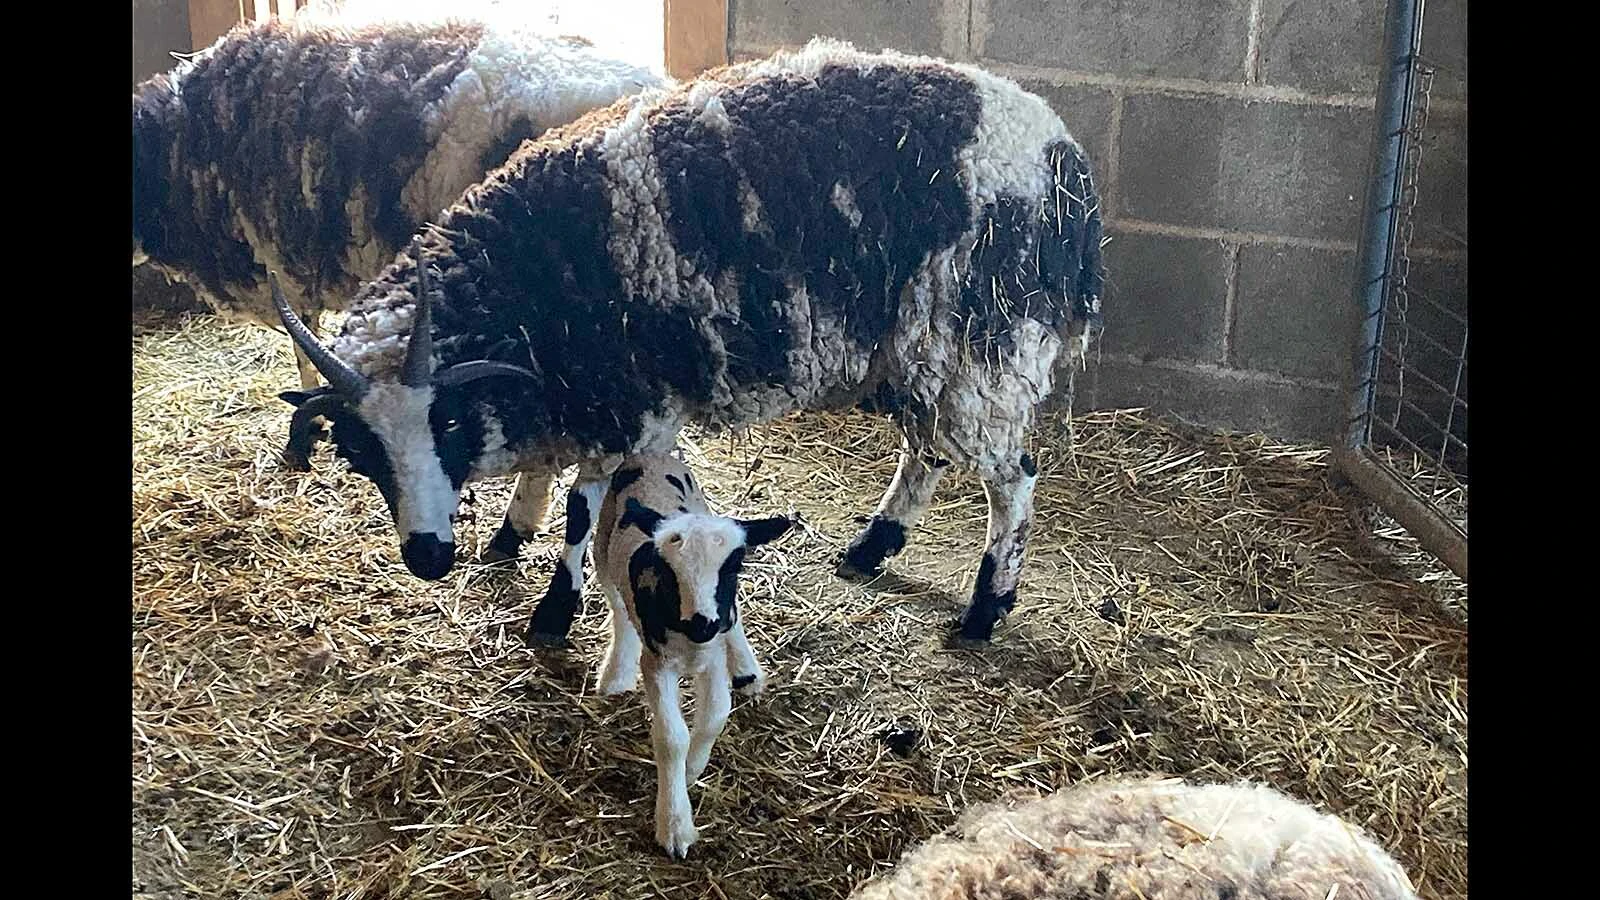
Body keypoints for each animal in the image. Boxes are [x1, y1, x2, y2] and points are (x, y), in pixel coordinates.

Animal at [267, 36, 1106, 648]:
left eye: (445, 424)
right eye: (359, 453)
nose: (427, 558)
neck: (531, 273)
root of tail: (1066, 158)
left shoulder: (629, 407)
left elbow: (583, 513)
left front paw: (553, 610)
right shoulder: (578, 390)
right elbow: (546, 471)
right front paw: (510, 532)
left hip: (987, 344)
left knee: (1013, 480)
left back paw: (986, 608)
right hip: (923, 349)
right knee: (926, 450)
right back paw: (872, 548)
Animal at [588, 452, 792, 858]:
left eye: (734, 565)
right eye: (667, 571)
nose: (702, 623)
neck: (690, 641)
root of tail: (648, 455)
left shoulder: (711, 658)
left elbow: (715, 714)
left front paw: (694, 769)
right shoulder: (657, 665)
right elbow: (672, 737)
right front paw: (675, 824)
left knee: (735, 620)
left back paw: (746, 670)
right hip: (603, 545)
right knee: (618, 606)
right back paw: (617, 672)